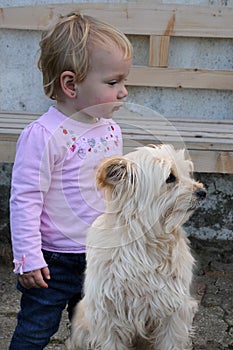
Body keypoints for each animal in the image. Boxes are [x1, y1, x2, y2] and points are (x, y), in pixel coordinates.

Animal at [67, 144, 206, 350]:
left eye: (186, 172)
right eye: (170, 177)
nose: (202, 192)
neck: (145, 243)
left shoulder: (173, 313)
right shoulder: (108, 317)